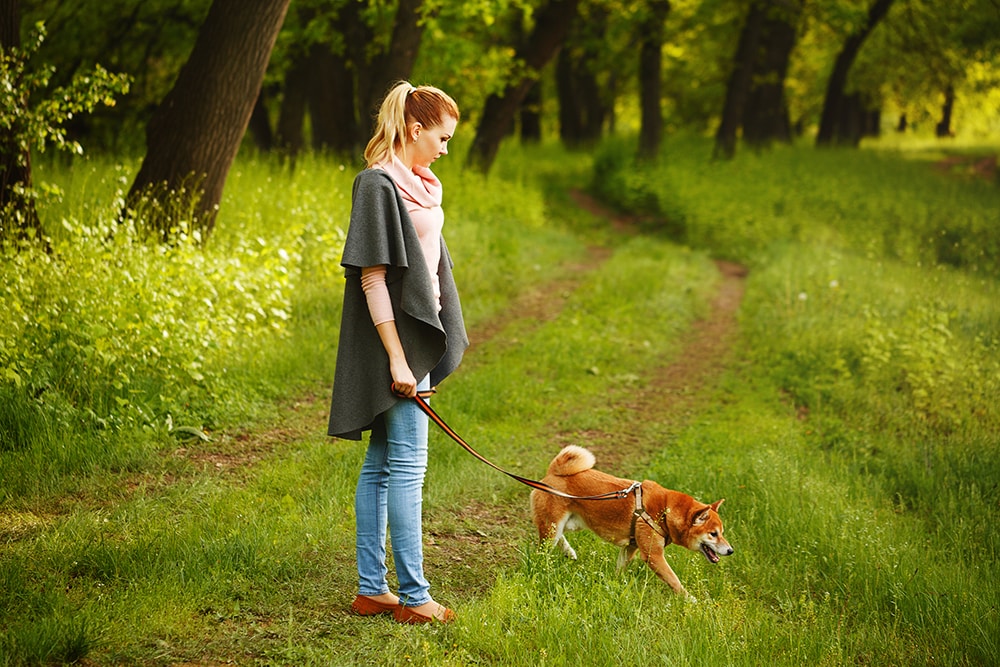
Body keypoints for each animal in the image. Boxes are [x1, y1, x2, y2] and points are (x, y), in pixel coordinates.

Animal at [532, 446, 736, 604]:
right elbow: (674, 581)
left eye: (722, 532)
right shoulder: (653, 555)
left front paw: (614, 583)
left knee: (560, 538)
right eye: (713, 534)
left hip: (570, 524)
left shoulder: (630, 547)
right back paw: (544, 568)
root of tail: (552, 472)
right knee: (543, 550)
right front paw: (691, 600)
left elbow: (619, 569)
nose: (731, 550)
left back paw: (569, 552)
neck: (665, 512)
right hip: (552, 527)